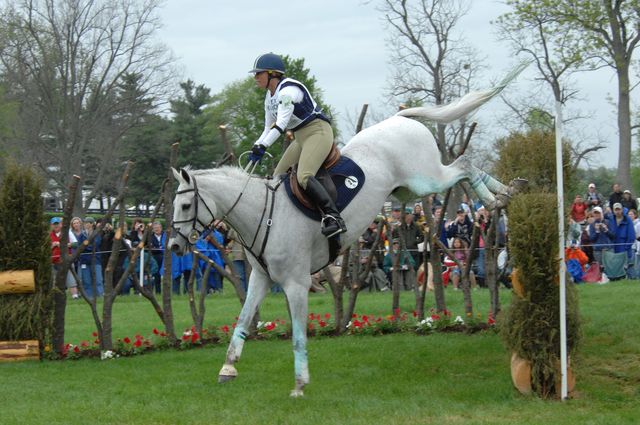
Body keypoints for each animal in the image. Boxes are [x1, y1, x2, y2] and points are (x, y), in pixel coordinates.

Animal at [169, 64, 524, 396]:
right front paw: (228, 369)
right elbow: (243, 320)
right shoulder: (261, 278)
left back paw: (498, 198)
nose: (173, 246)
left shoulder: (296, 284)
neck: (264, 213)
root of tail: (402, 118)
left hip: (426, 180)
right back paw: (507, 193)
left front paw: (299, 384)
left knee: (464, 165)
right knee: (464, 169)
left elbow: (298, 336)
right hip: (407, 190)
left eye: (185, 206)